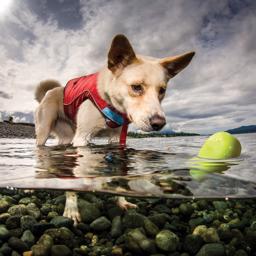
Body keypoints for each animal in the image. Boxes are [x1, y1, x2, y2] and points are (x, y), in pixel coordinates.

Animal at [33, 34, 194, 224]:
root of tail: (50, 92)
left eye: (162, 91)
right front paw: (72, 207)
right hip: (44, 131)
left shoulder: (117, 139)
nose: (159, 123)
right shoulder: (82, 138)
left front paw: (122, 200)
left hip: (66, 135)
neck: (109, 101)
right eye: (136, 87)